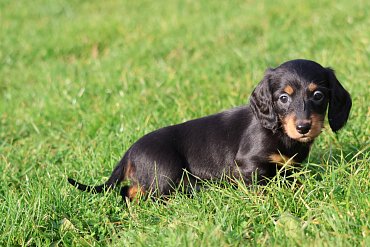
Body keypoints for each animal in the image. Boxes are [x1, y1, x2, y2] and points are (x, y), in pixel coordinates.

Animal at [68, 59, 352, 201]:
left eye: (318, 95)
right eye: (283, 98)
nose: (304, 127)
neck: (279, 132)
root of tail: (129, 151)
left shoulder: (290, 168)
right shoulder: (249, 164)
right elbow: (260, 189)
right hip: (166, 173)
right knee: (133, 192)